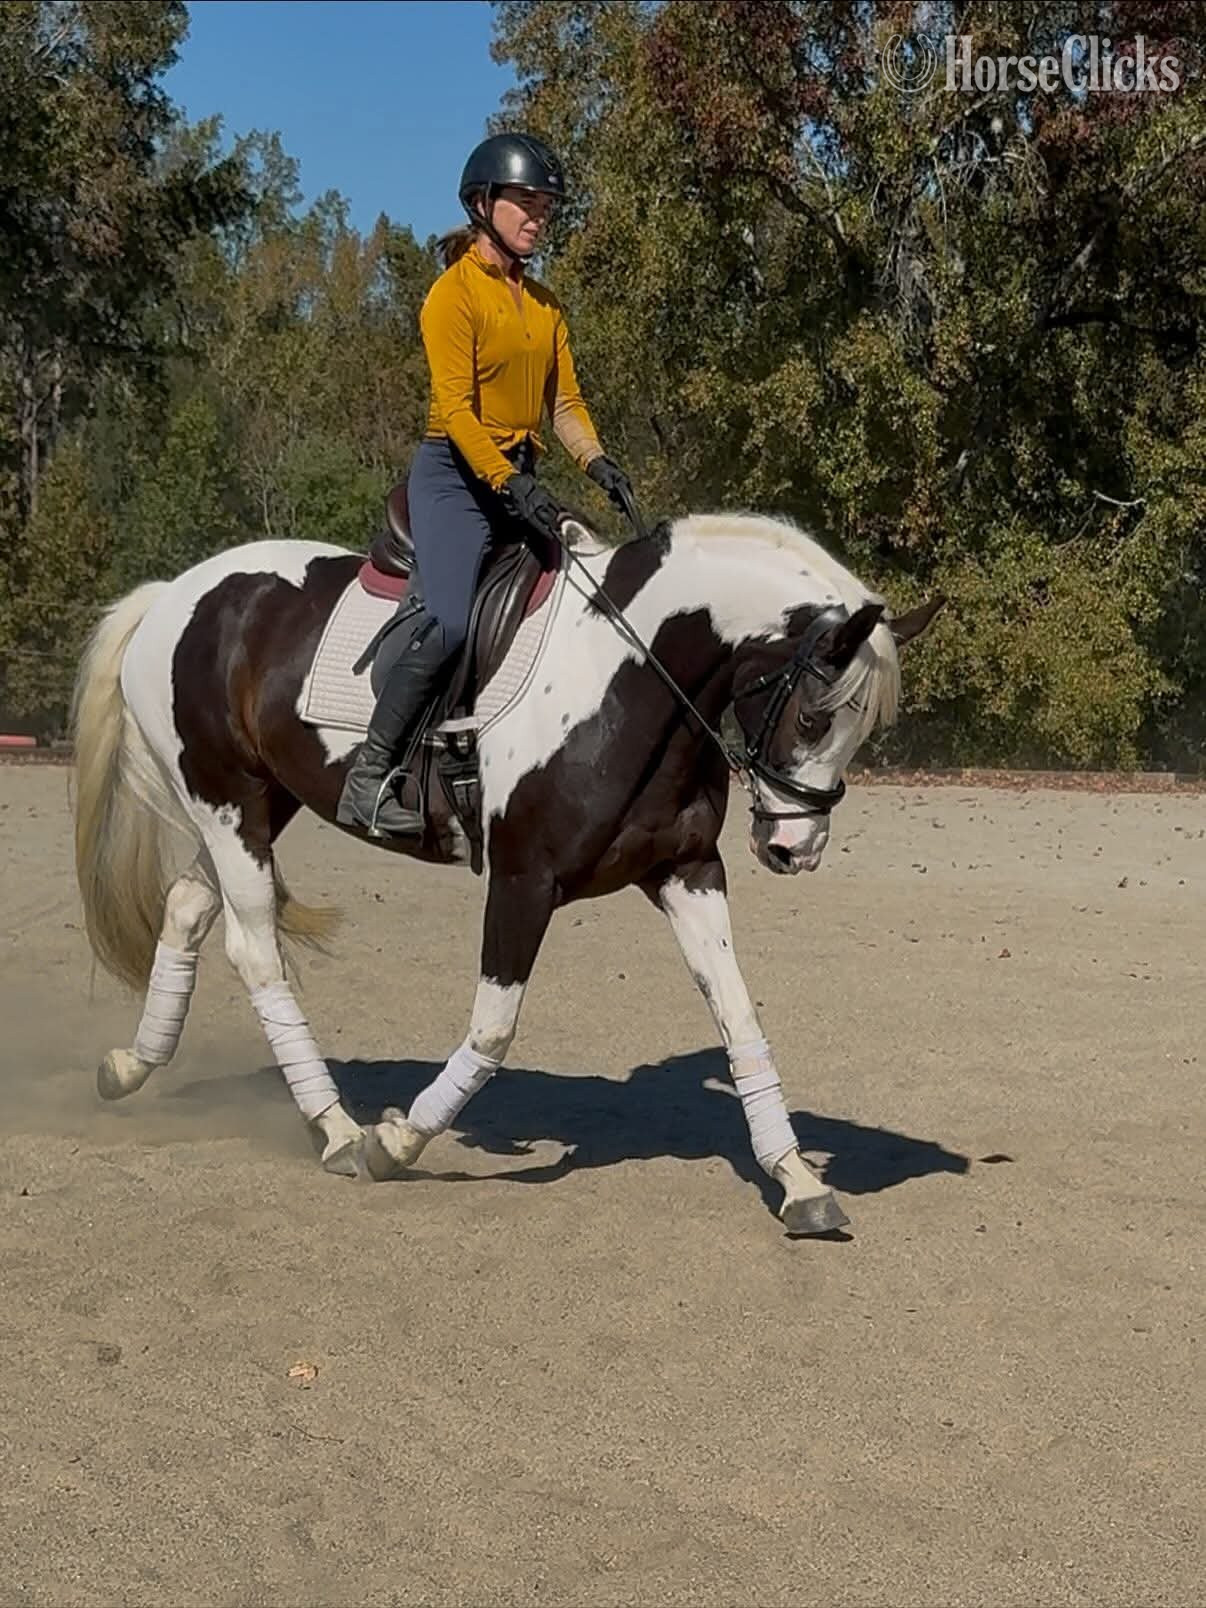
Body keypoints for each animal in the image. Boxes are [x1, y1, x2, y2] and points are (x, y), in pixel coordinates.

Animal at [69, 507, 941, 1235]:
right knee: (254, 948)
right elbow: (492, 1030)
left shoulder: (687, 871)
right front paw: (396, 1143)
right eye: (818, 717)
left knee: (186, 906)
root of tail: (175, 593)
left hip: (257, 804)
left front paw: (797, 1180)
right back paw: (338, 1128)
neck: (628, 678)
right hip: (228, 802)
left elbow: (740, 1018)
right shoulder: (524, 882)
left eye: (860, 729)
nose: (796, 849)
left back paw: (130, 1067)